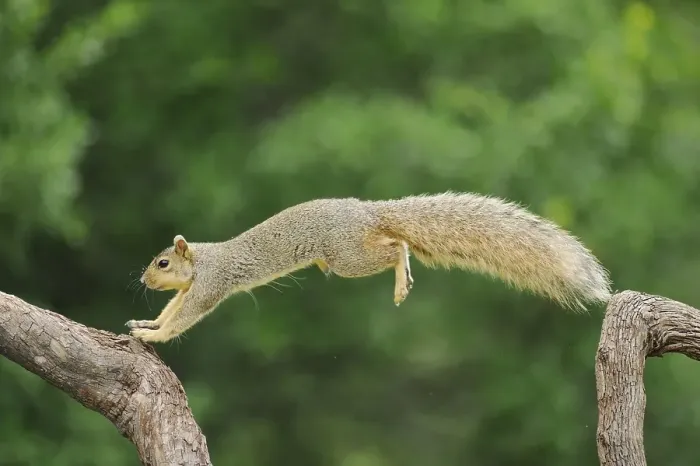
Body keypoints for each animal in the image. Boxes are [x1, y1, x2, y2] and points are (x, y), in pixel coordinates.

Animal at [126, 192, 612, 343]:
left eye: (163, 261)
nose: (144, 279)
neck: (203, 259)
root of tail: (366, 211)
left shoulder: (209, 285)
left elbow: (185, 318)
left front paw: (155, 336)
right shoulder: (191, 289)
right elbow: (173, 310)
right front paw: (146, 323)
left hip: (346, 257)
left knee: (396, 244)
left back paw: (400, 279)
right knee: (396, 241)